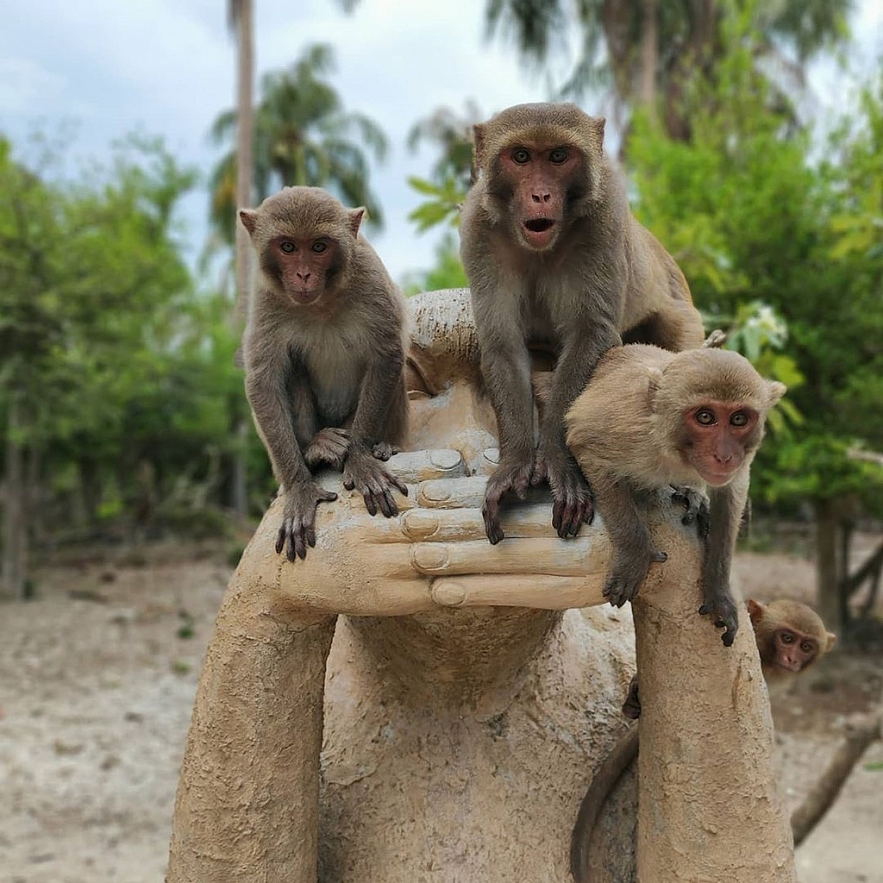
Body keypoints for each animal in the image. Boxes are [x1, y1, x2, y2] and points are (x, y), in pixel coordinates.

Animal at [240, 186, 410, 564]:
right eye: (288, 247)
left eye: (319, 246)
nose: (303, 275)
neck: (321, 303)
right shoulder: (265, 296)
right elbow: (264, 381)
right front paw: (298, 487)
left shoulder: (370, 276)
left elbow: (386, 356)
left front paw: (360, 459)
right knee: (292, 371)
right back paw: (316, 449)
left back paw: (381, 446)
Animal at [462, 102, 704, 544]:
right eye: (521, 156)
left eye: (559, 156)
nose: (541, 194)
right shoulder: (477, 230)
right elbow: (503, 344)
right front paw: (515, 462)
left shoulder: (606, 213)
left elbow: (591, 334)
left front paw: (559, 463)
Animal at [568, 344, 788, 644]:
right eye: (705, 417)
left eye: (739, 419)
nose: (724, 456)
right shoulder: (626, 431)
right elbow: (585, 444)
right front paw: (635, 552)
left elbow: (732, 491)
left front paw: (718, 587)